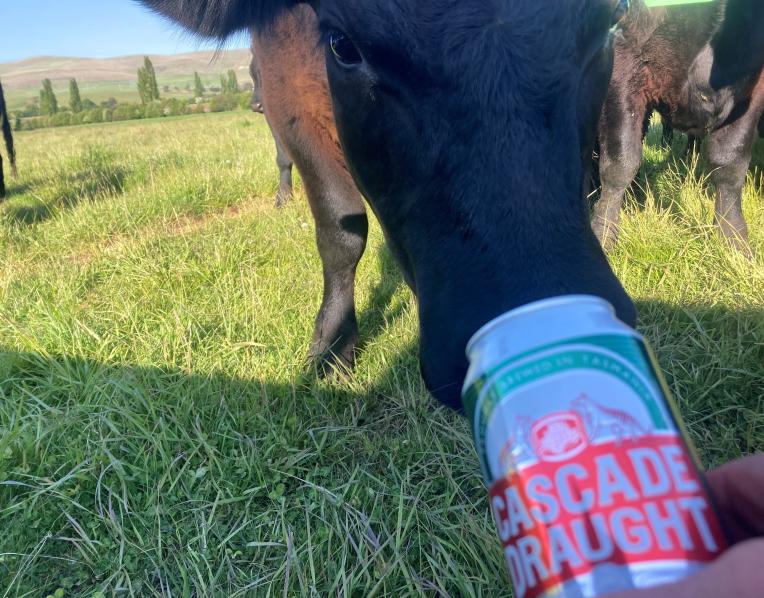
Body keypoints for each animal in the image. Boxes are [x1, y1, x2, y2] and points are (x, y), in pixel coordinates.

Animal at [593, 0, 764, 254]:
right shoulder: (623, 64)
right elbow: (620, 163)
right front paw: (603, 235)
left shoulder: (750, 90)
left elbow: (730, 164)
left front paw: (733, 240)